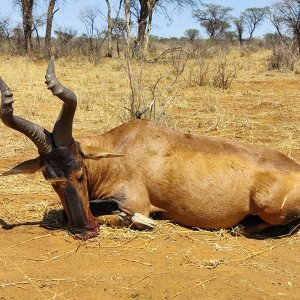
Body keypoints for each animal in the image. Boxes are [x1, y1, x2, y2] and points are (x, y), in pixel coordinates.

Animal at [0, 57, 300, 239]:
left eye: (80, 172)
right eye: (51, 180)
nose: (85, 231)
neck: (121, 150)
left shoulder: (137, 203)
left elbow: (129, 216)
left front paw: (146, 221)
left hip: (269, 207)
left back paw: (242, 227)